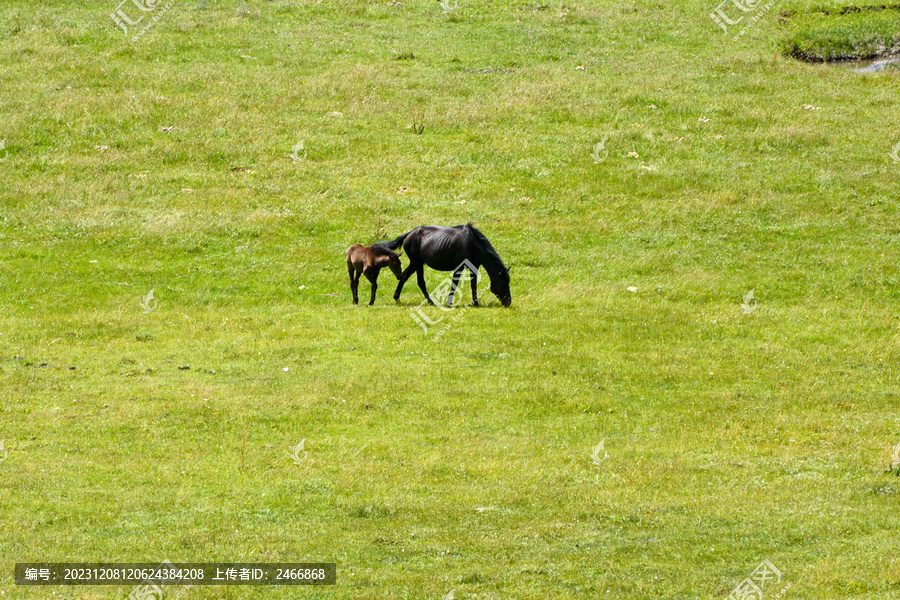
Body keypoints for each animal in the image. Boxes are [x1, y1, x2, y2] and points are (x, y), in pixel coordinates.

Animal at [382, 225, 512, 310]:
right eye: (503, 282)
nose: (508, 302)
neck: (471, 244)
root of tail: (410, 233)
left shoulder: (474, 267)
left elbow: (473, 285)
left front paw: (475, 303)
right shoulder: (459, 268)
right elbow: (454, 284)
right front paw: (449, 303)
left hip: (415, 263)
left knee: (404, 277)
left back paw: (397, 298)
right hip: (417, 263)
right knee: (420, 282)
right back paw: (430, 302)